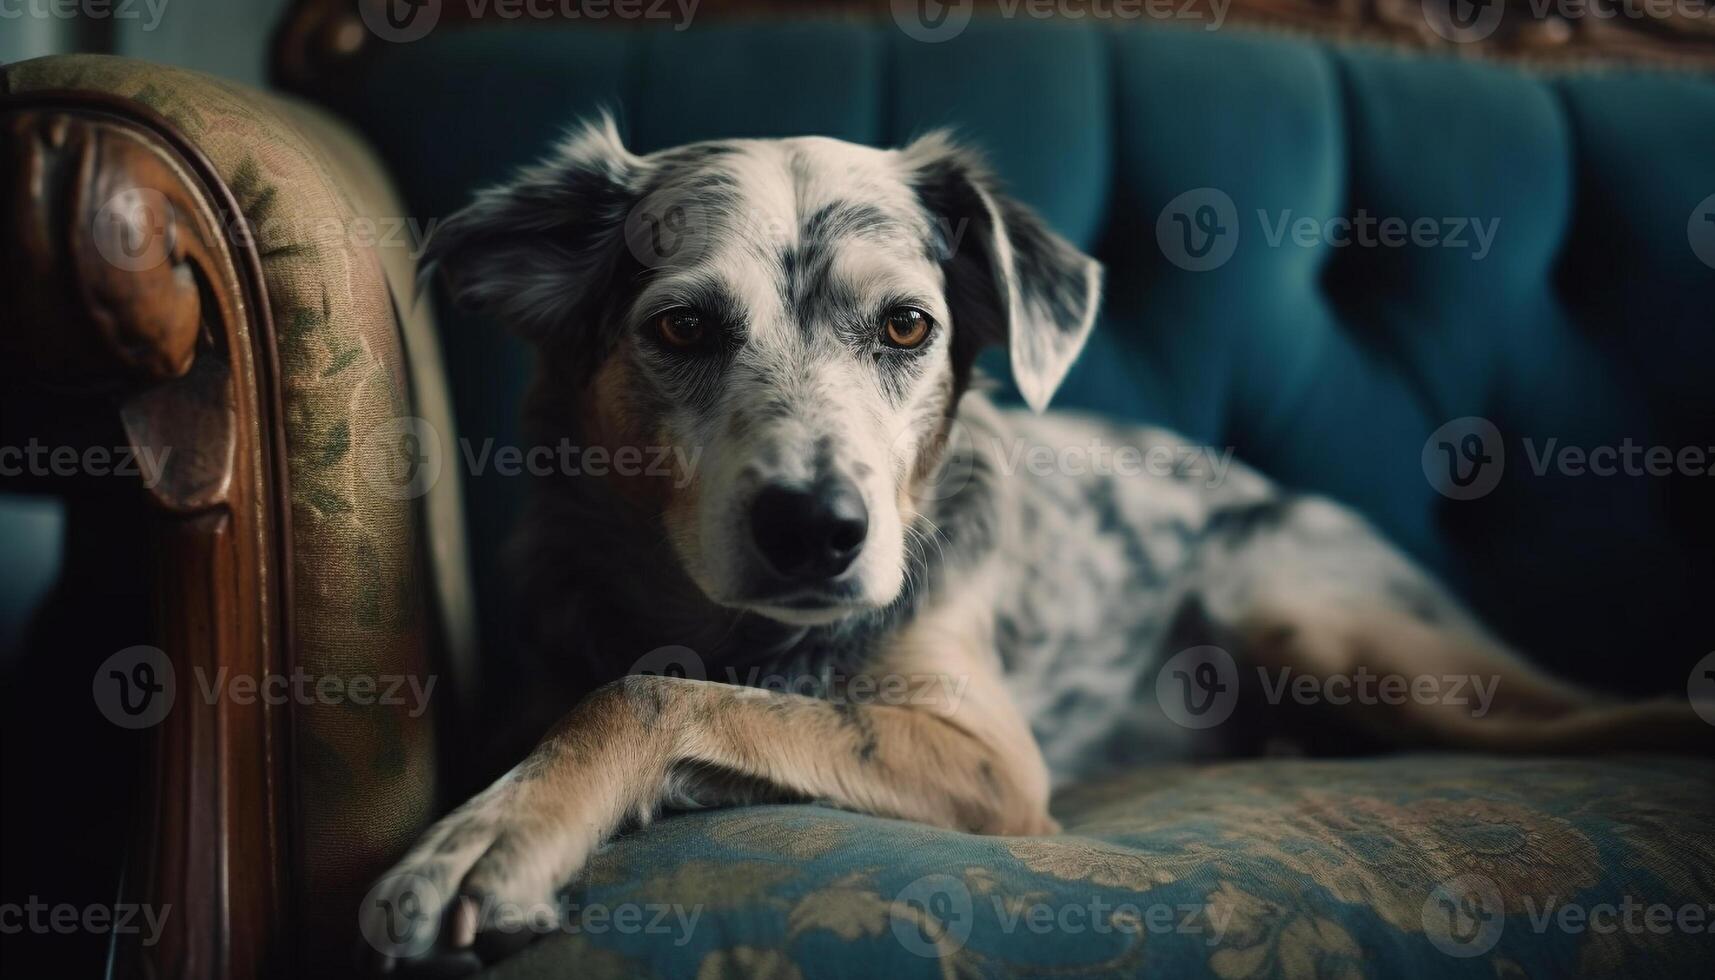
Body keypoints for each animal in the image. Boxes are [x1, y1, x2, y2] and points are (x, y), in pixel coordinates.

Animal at [358, 114, 1701, 974]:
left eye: (906, 325)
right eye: (681, 325)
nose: (820, 528)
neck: (730, 629)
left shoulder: (987, 760)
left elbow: (647, 696)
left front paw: (489, 839)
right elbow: (638, 688)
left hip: (1314, 619)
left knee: (1569, 713)